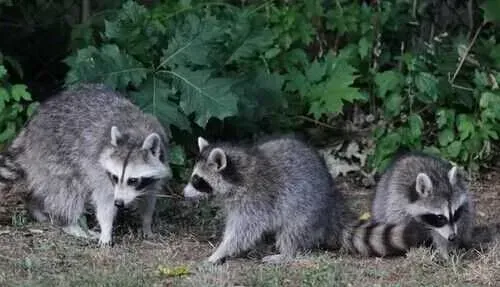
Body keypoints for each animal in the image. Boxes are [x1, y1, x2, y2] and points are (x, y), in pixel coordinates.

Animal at [0, 84, 172, 246]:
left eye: (133, 180)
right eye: (115, 177)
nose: (119, 203)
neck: (135, 135)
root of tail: (30, 128)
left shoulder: (156, 168)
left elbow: (149, 197)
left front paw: (146, 223)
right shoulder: (100, 170)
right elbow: (105, 200)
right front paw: (106, 229)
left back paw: (37, 207)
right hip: (52, 151)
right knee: (68, 190)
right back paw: (70, 224)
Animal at [183, 136, 426, 264]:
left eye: (197, 180)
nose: (184, 193)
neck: (239, 173)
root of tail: (331, 206)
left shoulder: (256, 200)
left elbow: (243, 232)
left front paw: (220, 252)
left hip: (306, 210)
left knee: (292, 231)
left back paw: (285, 254)